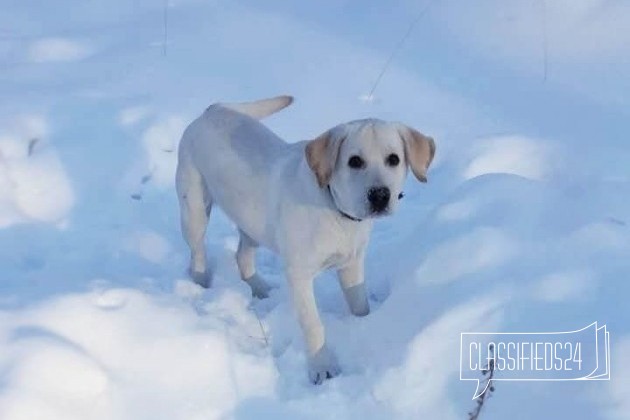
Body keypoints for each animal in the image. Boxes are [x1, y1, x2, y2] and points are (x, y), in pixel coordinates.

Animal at [175, 95, 436, 384]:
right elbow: (313, 325)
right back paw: (200, 284)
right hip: (194, 209)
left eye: (393, 159)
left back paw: (259, 288)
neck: (335, 208)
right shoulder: (299, 275)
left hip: (251, 221)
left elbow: (359, 303)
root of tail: (214, 109)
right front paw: (322, 366)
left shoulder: (352, 264)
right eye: (354, 161)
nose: (379, 195)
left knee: (242, 255)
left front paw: (363, 324)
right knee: (197, 253)